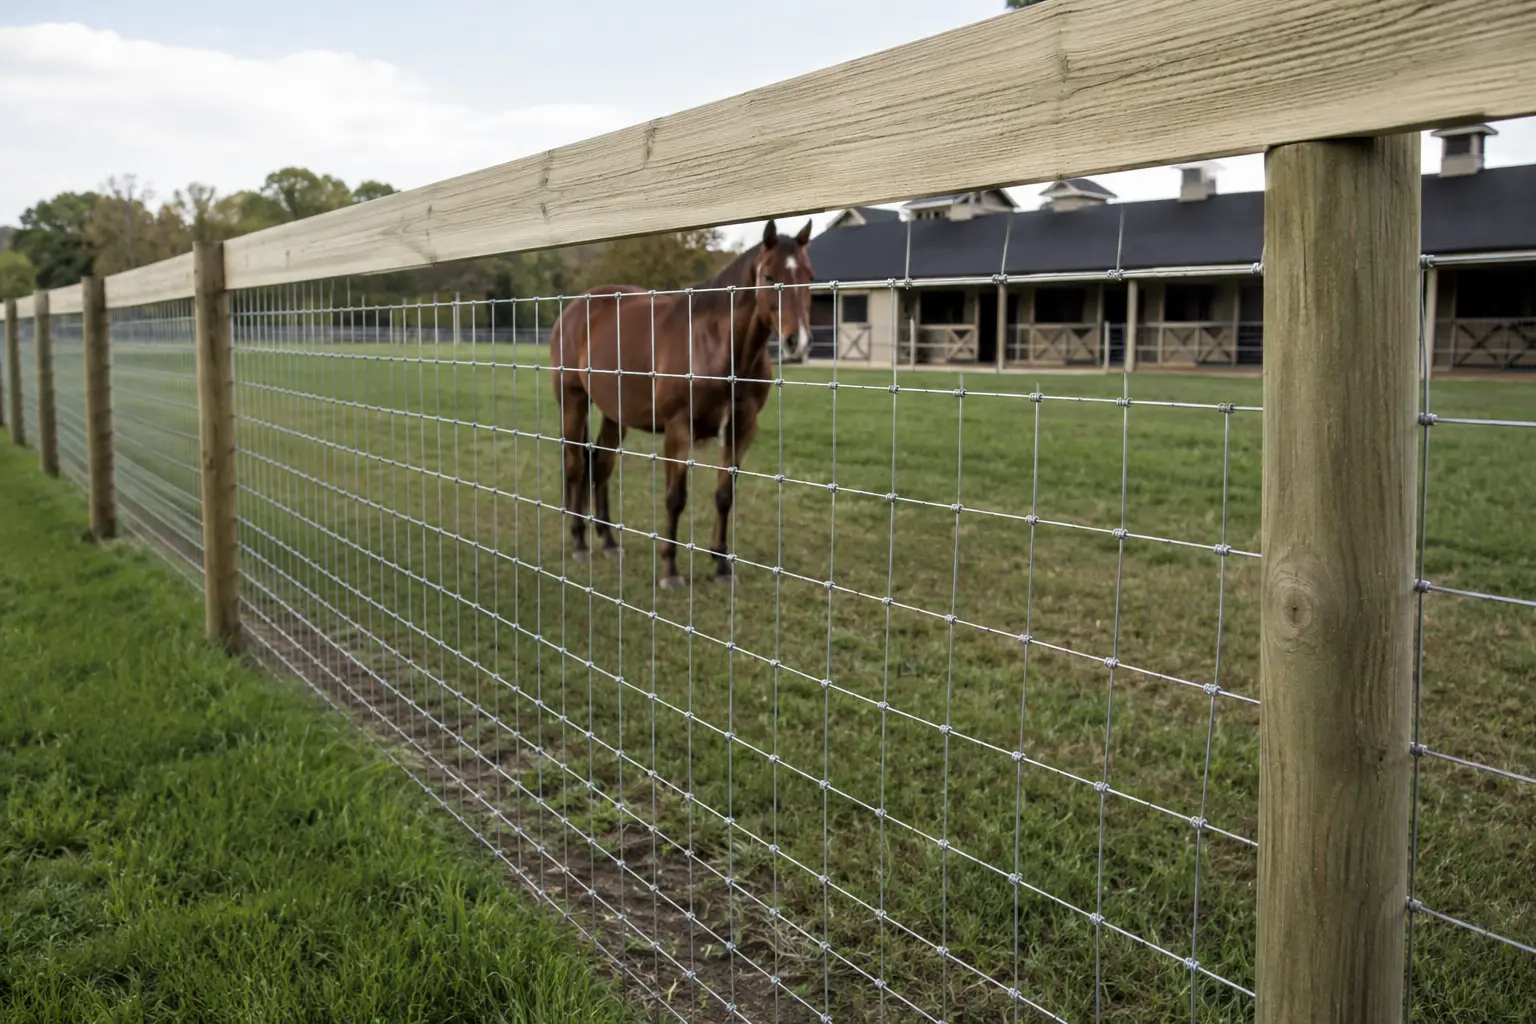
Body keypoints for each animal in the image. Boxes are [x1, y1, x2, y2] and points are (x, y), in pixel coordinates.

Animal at [550, 219, 815, 588]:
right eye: (769, 276)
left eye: (809, 276)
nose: (797, 342)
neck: (715, 345)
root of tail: (575, 308)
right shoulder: (678, 429)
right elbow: (675, 498)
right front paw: (670, 569)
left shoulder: (741, 430)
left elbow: (724, 496)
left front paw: (721, 565)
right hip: (573, 400)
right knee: (576, 464)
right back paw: (578, 541)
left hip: (614, 413)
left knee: (601, 464)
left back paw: (608, 541)